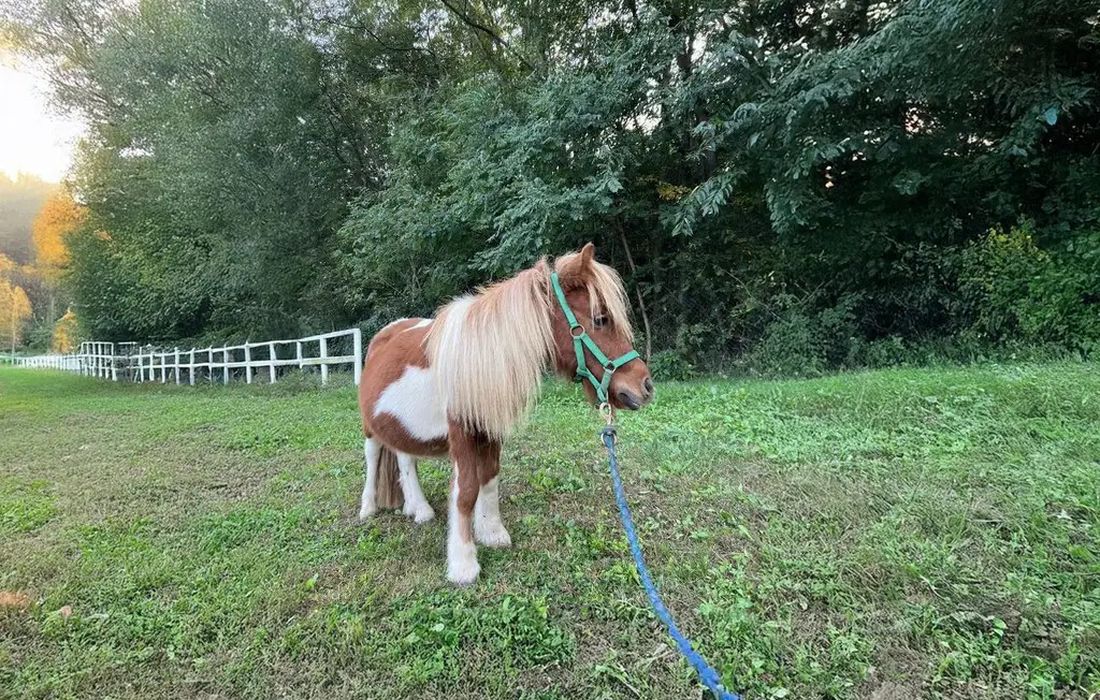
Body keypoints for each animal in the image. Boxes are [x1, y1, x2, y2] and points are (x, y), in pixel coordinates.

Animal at [356, 243, 654, 584]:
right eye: (600, 319)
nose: (644, 385)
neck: (479, 359)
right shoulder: (462, 433)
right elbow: (466, 490)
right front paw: (463, 564)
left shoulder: (489, 428)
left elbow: (489, 478)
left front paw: (492, 532)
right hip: (369, 427)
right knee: (373, 455)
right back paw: (368, 508)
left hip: (401, 423)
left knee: (405, 458)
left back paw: (418, 509)